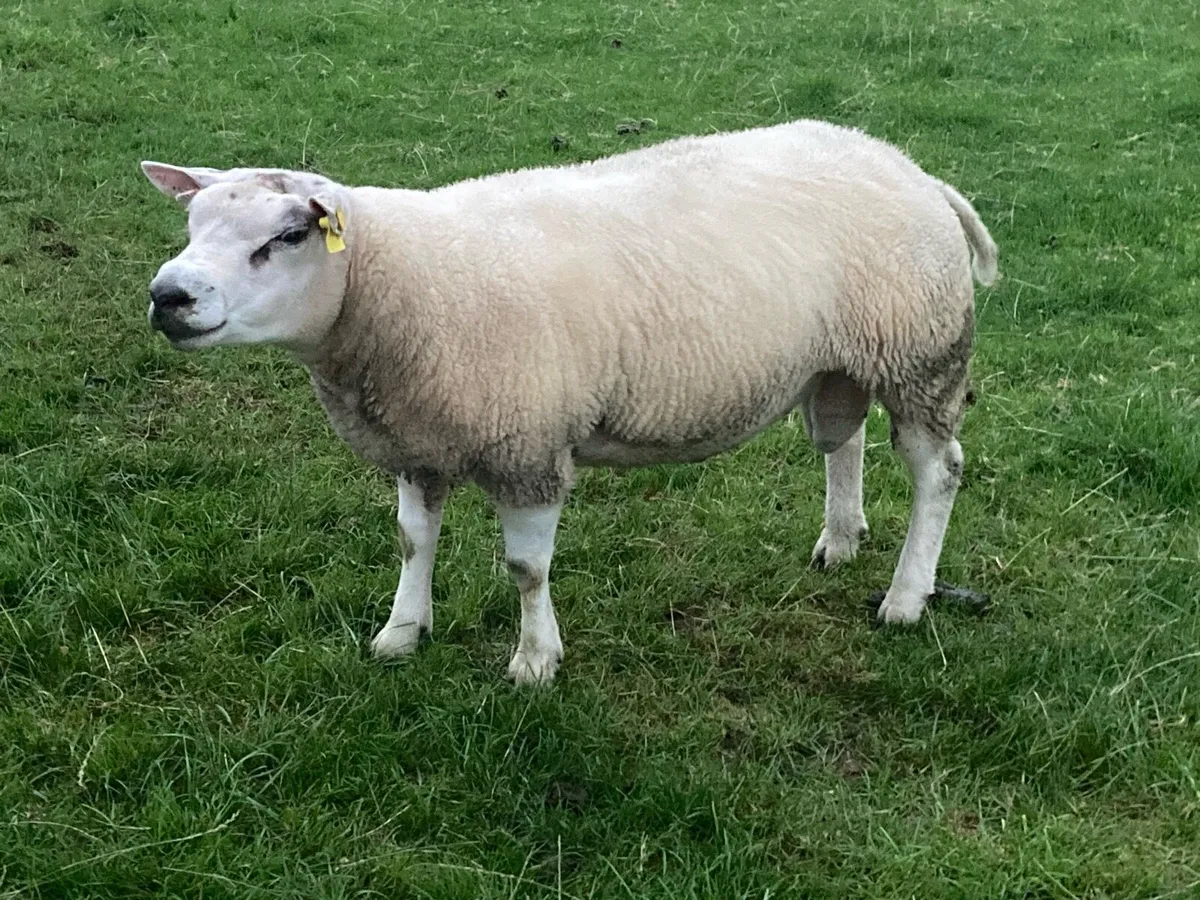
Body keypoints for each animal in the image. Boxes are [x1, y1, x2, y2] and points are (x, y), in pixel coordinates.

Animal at [140, 118, 998, 684]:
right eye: (193, 222)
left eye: (287, 236)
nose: (168, 296)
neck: (401, 281)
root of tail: (913, 171)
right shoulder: (420, 442)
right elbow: (413, 543)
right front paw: (400, 633)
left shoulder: (527, 446)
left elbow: (525, 568)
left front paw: (533, 662)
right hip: (844, 356)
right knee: (842, 439)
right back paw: (841, 538)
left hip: (921, 351)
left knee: (939, 472)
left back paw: (906, 596)